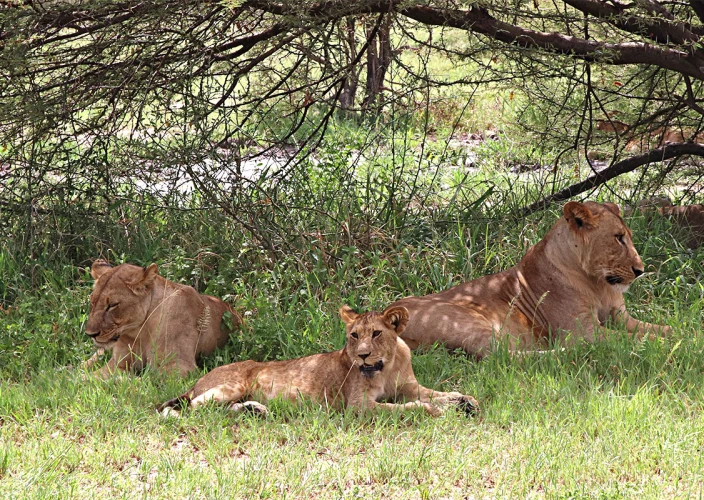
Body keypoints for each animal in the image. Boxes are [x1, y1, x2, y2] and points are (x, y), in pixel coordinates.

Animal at [85, 259, 241, 377]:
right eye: (92, 302)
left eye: (112, 305)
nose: (90, 334)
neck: (139, 331)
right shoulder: (116, 363)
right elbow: (89, 378)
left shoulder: (178, 367)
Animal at [157, 305, 478, 418]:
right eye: (354, 335)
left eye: (376, 333)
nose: (362, 355)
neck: (386, 367)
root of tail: (200, 379)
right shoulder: (358, 406)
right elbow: (411, 407)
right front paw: (437, 411)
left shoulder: (410, 387)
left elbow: (439, 393)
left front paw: (466, 401)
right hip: (230, 384)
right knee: (189, 407)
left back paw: (256, 410)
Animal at [388, 201, 671, 357]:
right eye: (619, 238)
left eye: (627, 236)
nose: (640, 270)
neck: (597, 283)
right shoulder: (581, 330)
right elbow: (629, 338)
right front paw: (664, 346)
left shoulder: (621, 317)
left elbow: (658, 328)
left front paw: (677, 334)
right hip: (471, 323)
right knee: (501, 356)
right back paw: (571, 353)